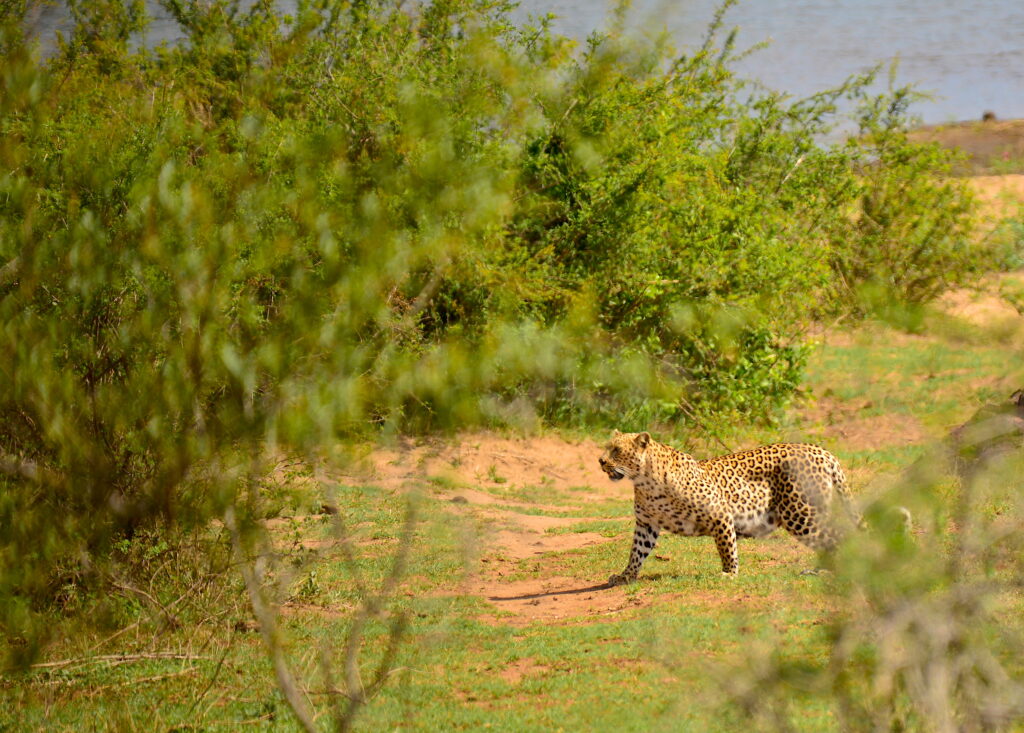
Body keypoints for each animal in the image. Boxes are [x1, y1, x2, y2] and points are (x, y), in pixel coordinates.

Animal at [598, 429, 860, 585]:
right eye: (607, 447)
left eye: (617, 450)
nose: (600, 461)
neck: (644, 480)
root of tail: (822, 451)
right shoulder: (646, 523)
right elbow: (637, 551)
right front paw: (625, 576)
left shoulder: (720, 514)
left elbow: (726, 547)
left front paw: (729, 573)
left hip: (800, 513)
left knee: (836, 536)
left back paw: (829, 572)